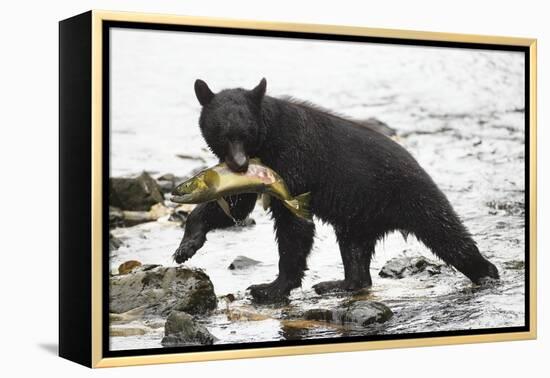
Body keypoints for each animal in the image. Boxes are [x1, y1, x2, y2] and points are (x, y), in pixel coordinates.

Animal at [175, 78, 502, 302]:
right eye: (223, 134)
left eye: (247, 133)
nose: (240, 164)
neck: (267, 144)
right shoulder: (261, 172)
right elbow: (237, 204)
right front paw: (186, 247)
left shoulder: (292, 163)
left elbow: (293, 225)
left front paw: (270, 287)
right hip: (357, 217)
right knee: (355, 251)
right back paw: (340, 283)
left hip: (413, 197)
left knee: (448, 235)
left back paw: (487, 273)